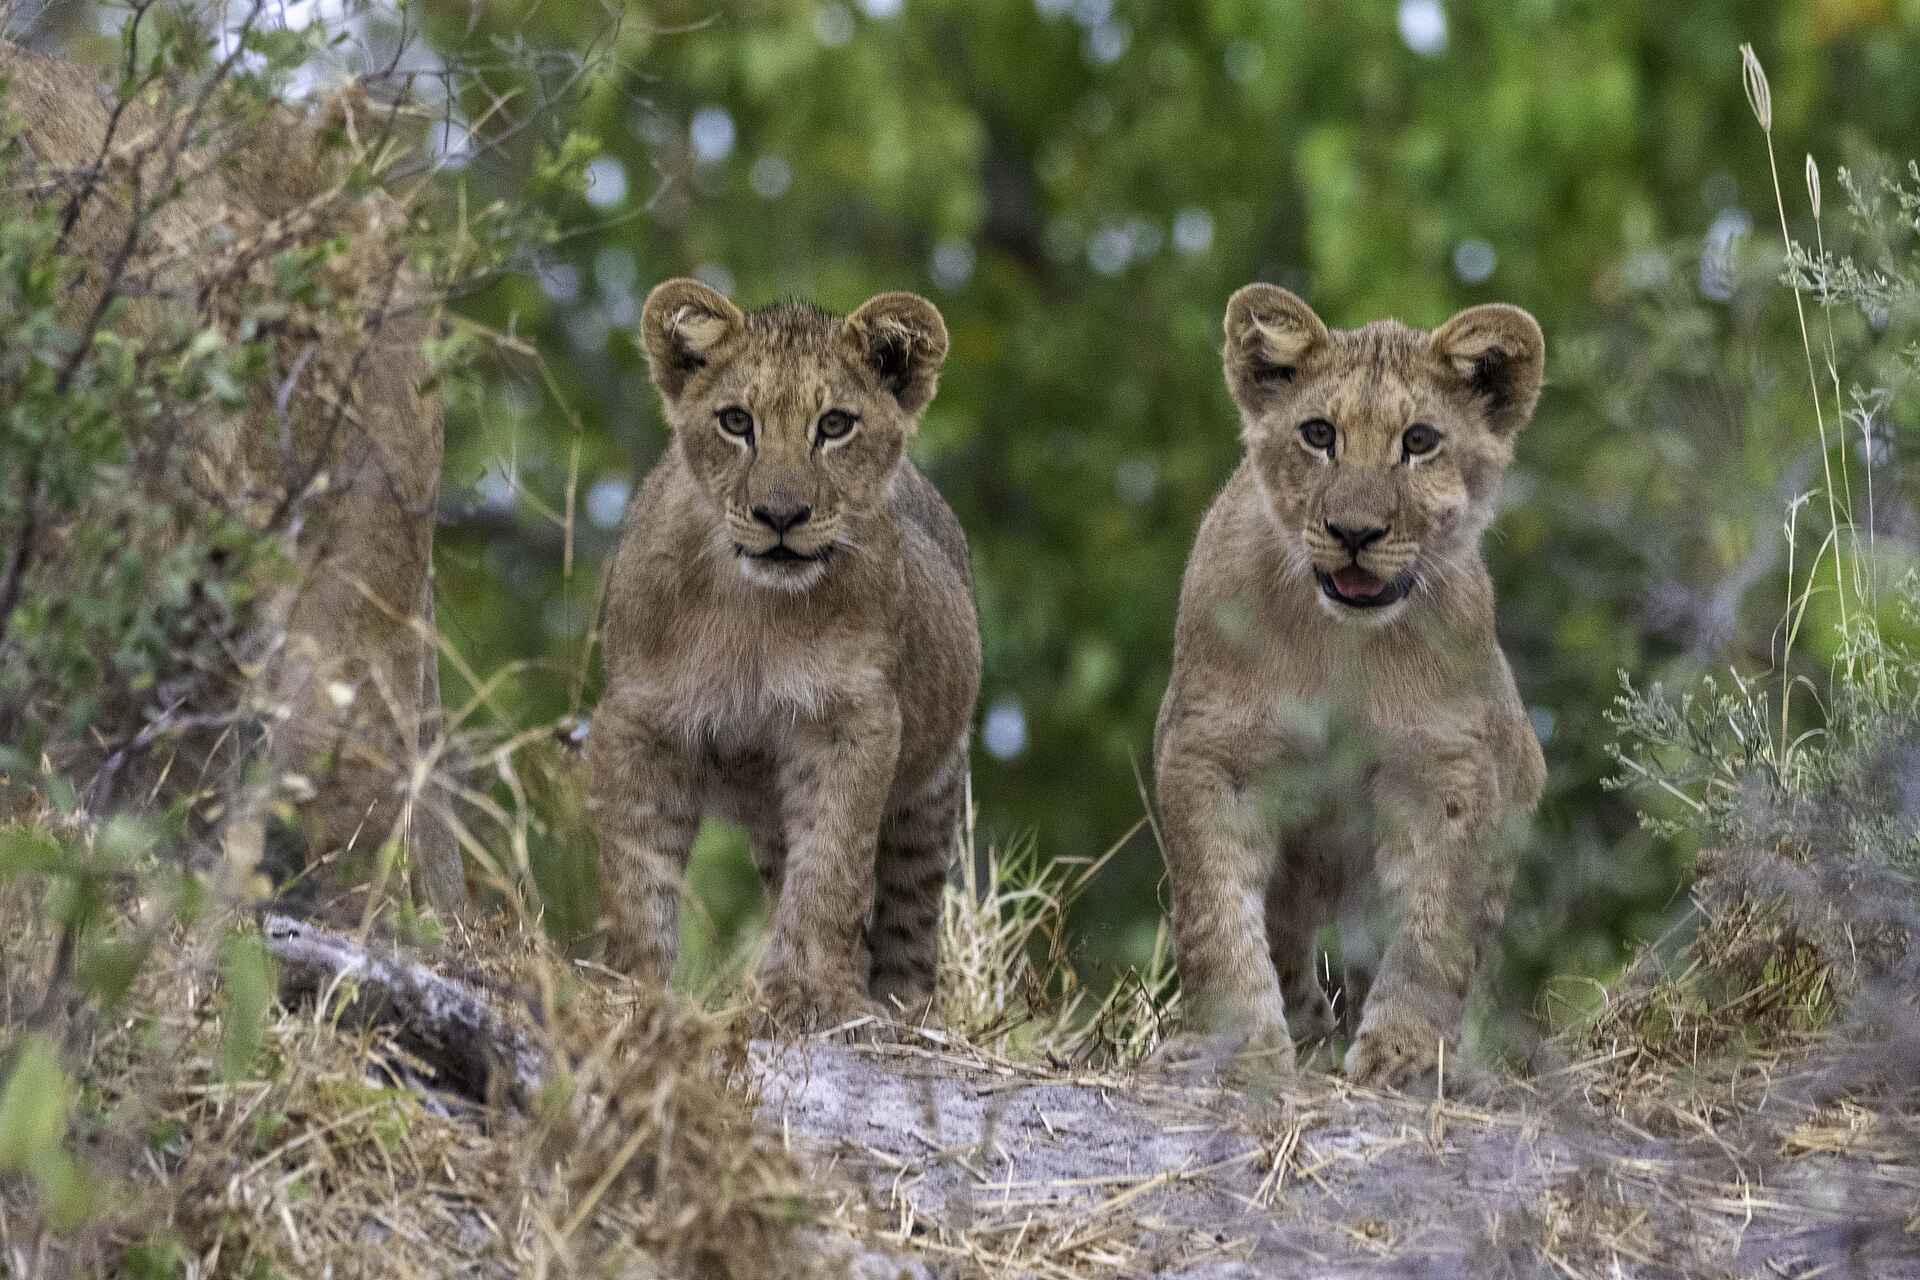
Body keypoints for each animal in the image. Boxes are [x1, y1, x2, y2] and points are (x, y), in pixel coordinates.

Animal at [588, 278, 981, 1025]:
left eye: (835, 426)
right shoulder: (641, 720)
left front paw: (809, 996)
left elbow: (831, 865)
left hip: (932, 785)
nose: (780, 516)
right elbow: (636, 872)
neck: (756, 618)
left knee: (907, 911)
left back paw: (901, 1010)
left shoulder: (853, 720)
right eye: (736, 421)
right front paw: (630, 992)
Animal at [1152, 283, 1547, 1089]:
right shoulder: (1211, 752)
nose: (1355, 532)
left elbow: (1433, 930)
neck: (1344, 642)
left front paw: (1404, 1054)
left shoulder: (1449, 769)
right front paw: (1242, 1044)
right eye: (1318, 433)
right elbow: (1216, 914)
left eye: (1420, 441)